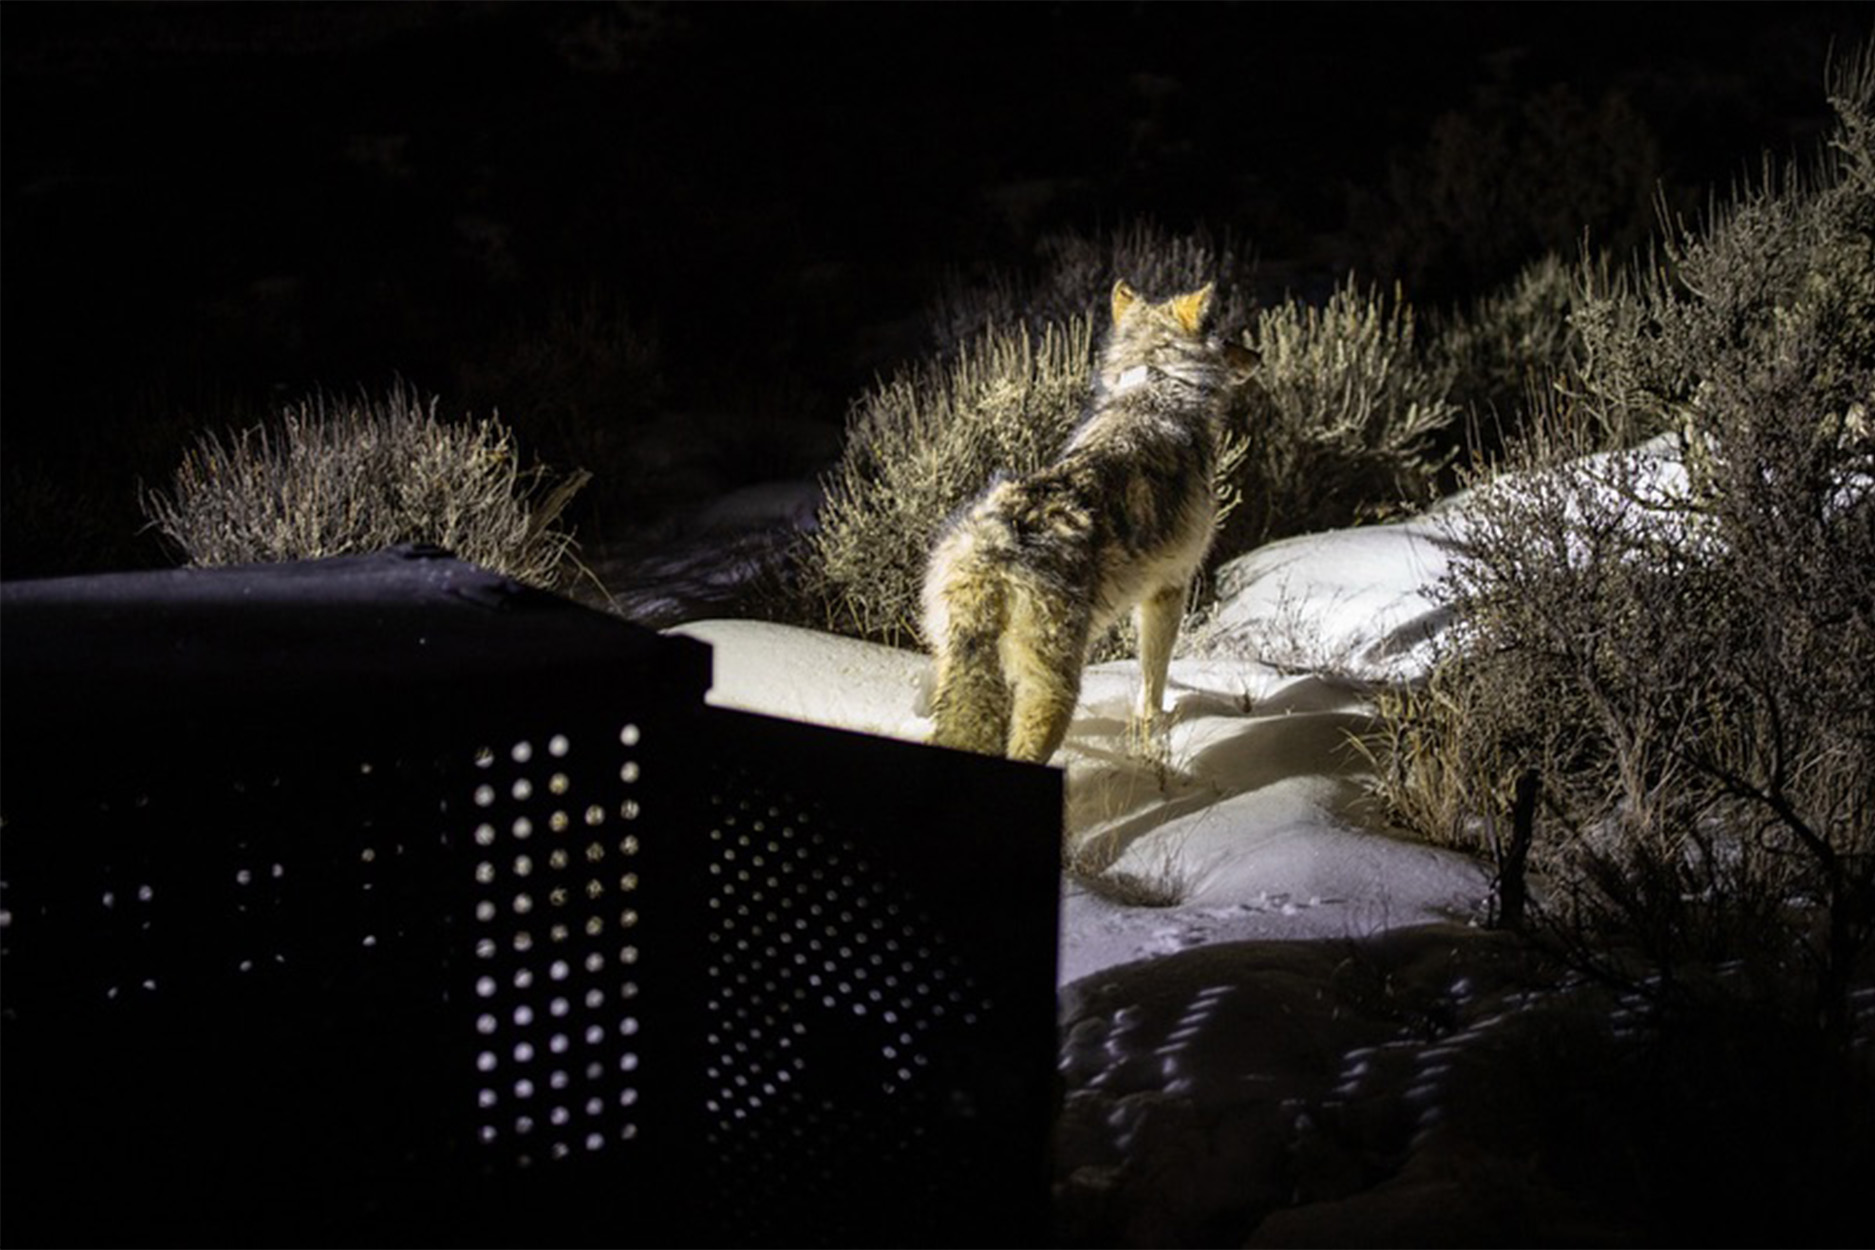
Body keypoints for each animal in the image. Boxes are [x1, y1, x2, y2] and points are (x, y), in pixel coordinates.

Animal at [918, 279, 1245, 764]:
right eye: (1223, 335)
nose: (1256, 355)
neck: (1156, 385)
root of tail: (989, 547)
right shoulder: (1170, 590)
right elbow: (1153, 680)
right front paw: (1155, 730)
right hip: (1054, 692)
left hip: (958, 672)